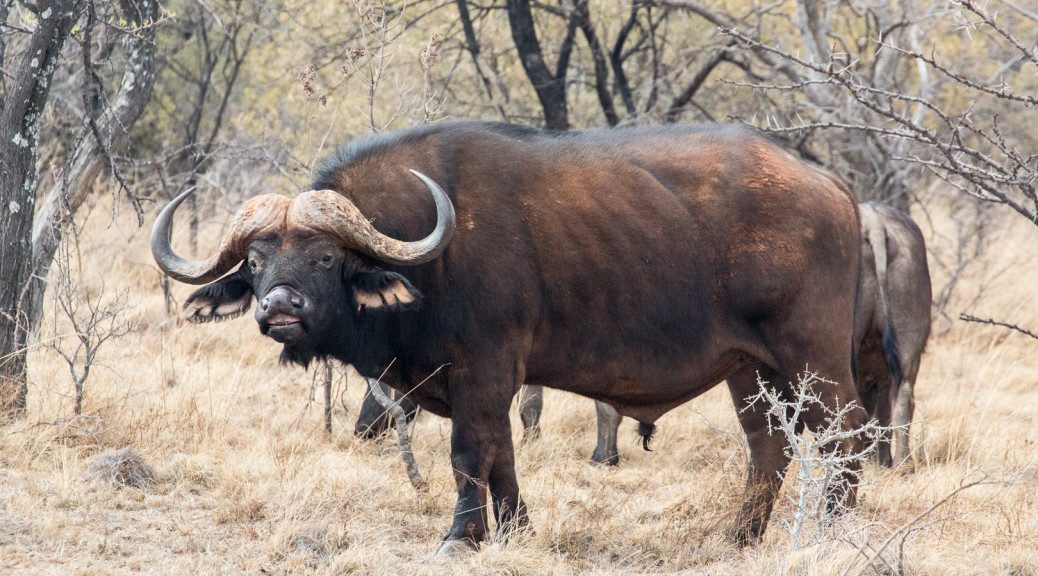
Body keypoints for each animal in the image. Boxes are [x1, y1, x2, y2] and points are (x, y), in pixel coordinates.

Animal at [151, 121, 867, 556]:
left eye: (326, 257)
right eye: (255, 262)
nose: (280, 310)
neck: (433, 253)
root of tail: (834, 186)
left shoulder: (484, 369)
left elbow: (470, 455)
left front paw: (460, 538)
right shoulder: (490, 383)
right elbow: (503, 457)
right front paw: (515, 529)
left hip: (815, 358)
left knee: (849, 435)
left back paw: (835, 531)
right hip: (748, 368)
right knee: (768, 447)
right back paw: (737, 538)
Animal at [527, 202, 934, 469]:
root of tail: (873, 221)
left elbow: (592, 404)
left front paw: (603, 456)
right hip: (903, 350)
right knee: (900, 401)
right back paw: (898, 462)